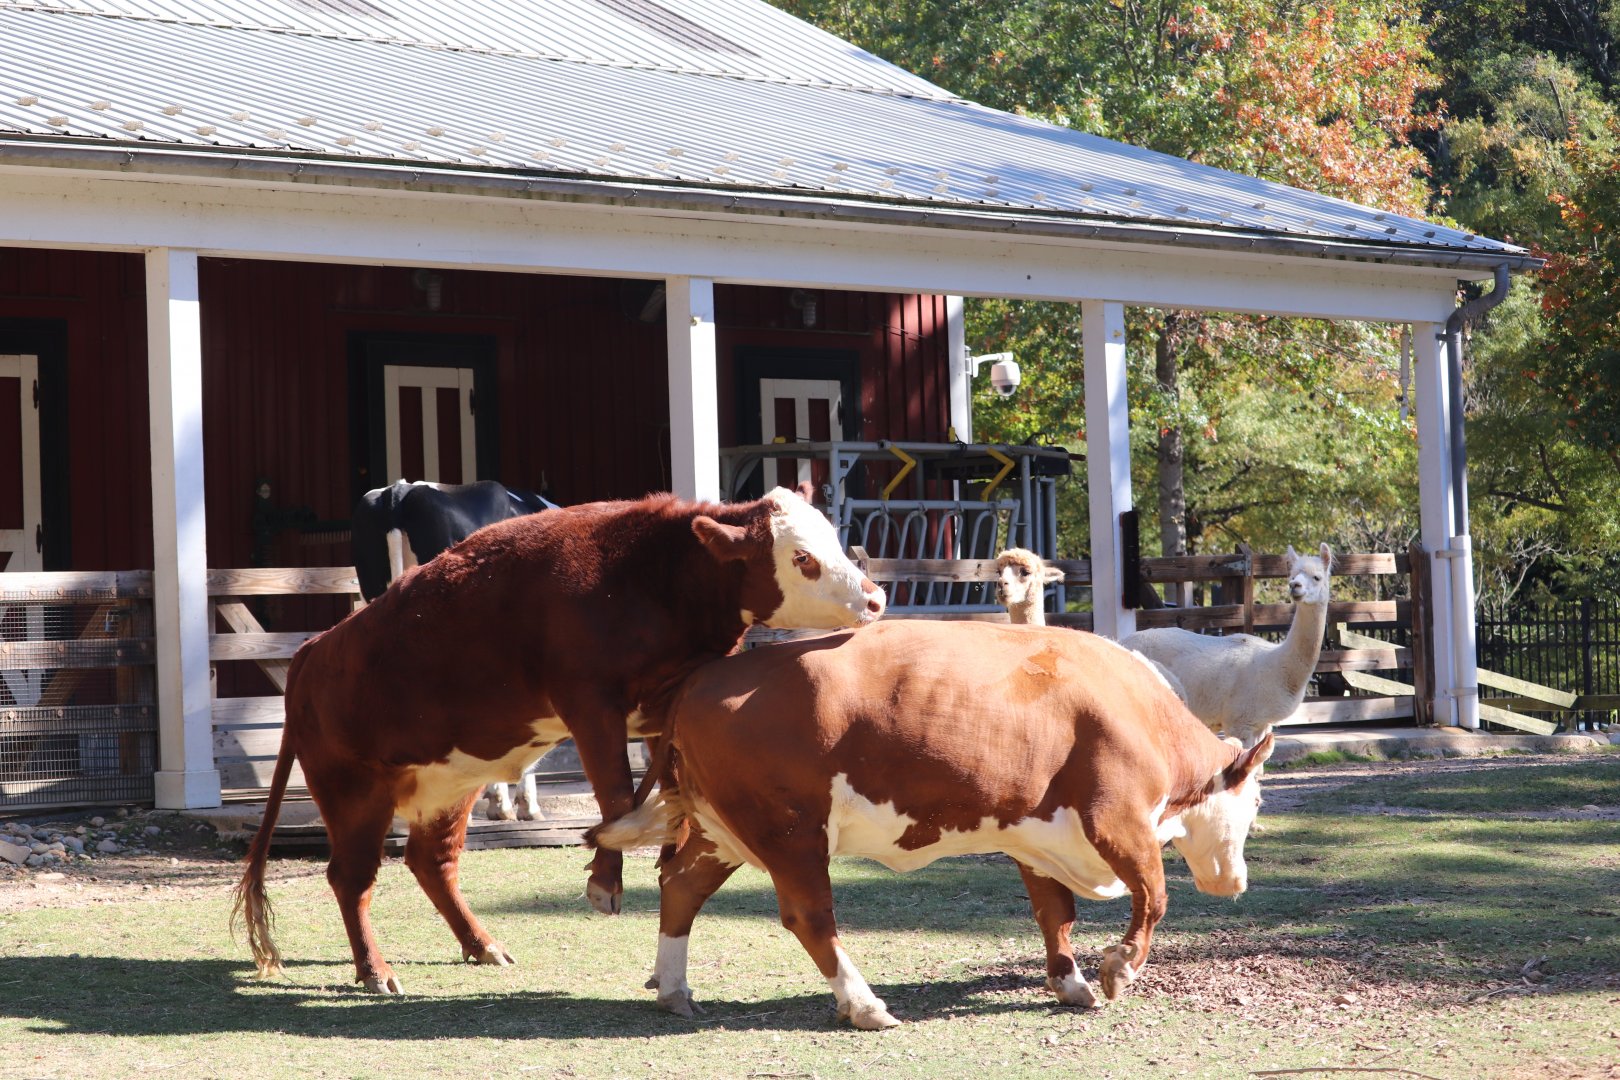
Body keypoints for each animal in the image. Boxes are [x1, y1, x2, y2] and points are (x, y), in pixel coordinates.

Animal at [593, 619, 1273, 1029]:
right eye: (1258, 805)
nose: (1239, 882)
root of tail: (706, 676)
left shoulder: (1035, 835)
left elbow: (1055, 913)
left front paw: (1070, 982)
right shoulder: (1118, 820)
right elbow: (1153, 896)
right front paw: (1119, 969)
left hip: (722, 829)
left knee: (681, 885)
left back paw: (675, 990)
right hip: (789, 832)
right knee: (809, 916)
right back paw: (864, 1004)